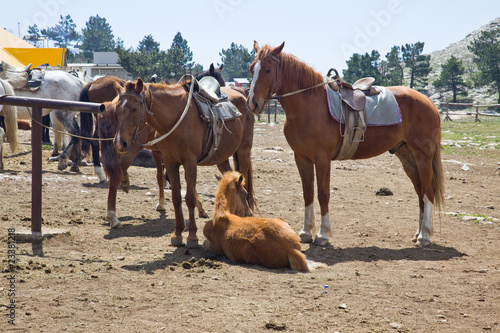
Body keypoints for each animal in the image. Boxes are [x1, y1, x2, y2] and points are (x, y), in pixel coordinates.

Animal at [112, 76, 256, 245]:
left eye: (135, 109)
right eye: (116, 109)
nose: (120, 143)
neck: (175, 119)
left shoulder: (190, 163)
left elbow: (190, 198)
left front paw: (192, 236)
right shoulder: (170, 162)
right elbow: (176, 198)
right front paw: (177, 234)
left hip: (243, 151)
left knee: (245, 182)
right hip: (222, 158)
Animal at [247, 41, 446, 245]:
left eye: (268, 69)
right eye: (251, 69)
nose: (253, 103)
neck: (309, 105)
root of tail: (428, 102)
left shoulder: (322, 159)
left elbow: (323, 194)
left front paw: (323, 234)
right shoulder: (301, 158)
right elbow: (308, 193)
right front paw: (305, 232)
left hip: (422, 155)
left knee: (428, 189)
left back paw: (424, 235)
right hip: (407, 155)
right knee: (420, 190)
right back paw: (418, 232)